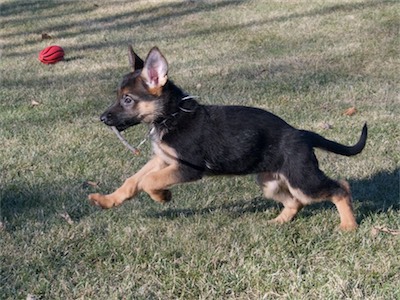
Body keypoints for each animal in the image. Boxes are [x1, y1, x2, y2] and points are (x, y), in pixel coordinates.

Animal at [89, 45, 368, 231]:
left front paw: (162, 196)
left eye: (127, 100)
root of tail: (300, 133)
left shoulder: (187, 168)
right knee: (296, 202)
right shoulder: (162, 159)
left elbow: (148, 181)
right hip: (269, 182)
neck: (172, 115)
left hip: (302, 180)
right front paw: (107, 200)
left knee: (340, 188)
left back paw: (348, 226)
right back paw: (277, 221)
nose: (102, 118)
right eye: (118, 97)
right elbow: (133, 181)